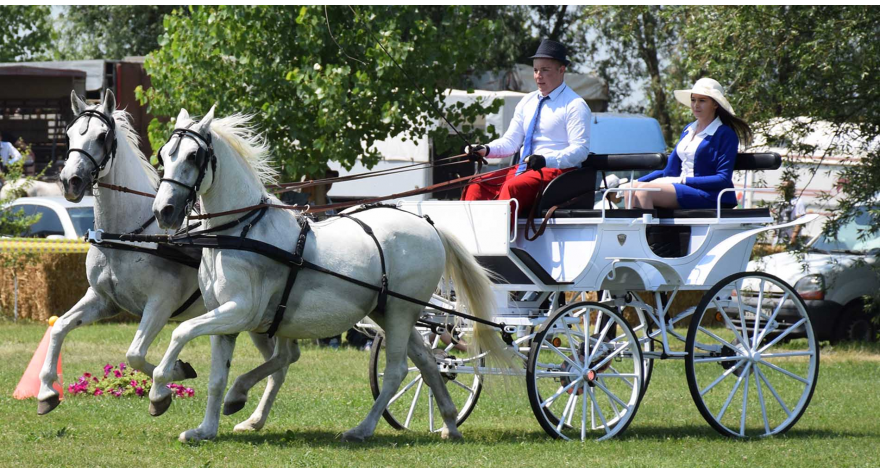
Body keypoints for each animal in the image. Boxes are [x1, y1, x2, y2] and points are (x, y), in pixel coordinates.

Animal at [39, 90, 296, 436]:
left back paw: (241, 402)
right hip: (258, 322)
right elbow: (59, 328)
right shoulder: (103, 300)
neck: (130, 234)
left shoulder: (160, 303)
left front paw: (169, 381)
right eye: (68, 135)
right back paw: (250, 415)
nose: (71, 181)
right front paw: (46, 392)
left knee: (283, 360)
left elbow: (135, 354)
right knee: (284, 360)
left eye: (102, 136)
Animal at [149, 106, 520, 440]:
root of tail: (428, 223)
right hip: (389, 312)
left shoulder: (239, 311)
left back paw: (362, 429)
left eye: (194, 155)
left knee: (396, 371)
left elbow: (180, 332)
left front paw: (159, 394)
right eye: (163, 155)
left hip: (400, 313)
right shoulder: (224, 318)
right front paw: (206, 429)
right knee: (428, 364)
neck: (239, 231)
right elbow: (217, 377)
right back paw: (450, 425)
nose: (164, 211)